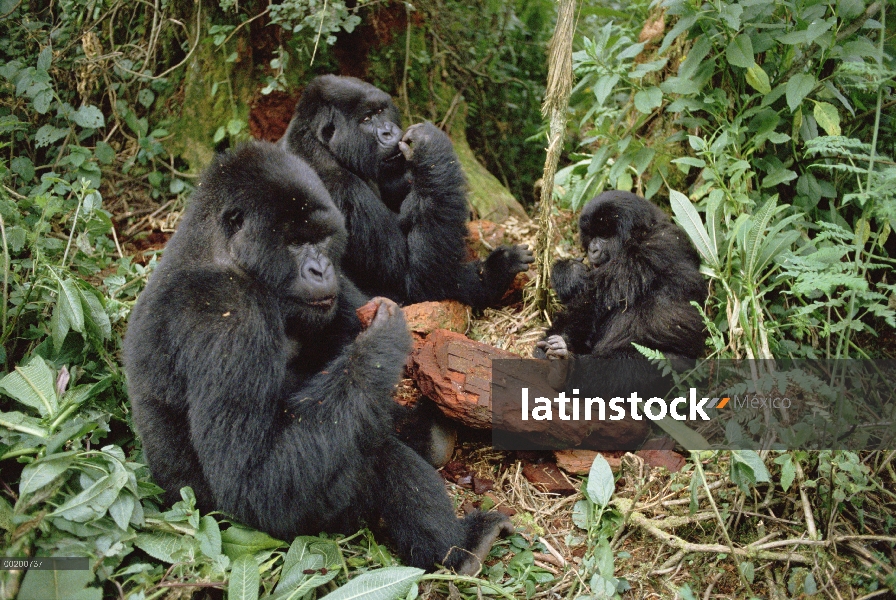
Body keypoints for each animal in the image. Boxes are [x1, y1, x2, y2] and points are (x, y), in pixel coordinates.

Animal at [123, 142, 512, 576]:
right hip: (239, 522)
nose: (320, 269)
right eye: (294, 242)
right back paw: (459, 550)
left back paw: (428, 437)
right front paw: (381, 342)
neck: (221, 251)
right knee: (372, 458)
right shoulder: (228, 314)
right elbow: (252, 481)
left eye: (323, 240)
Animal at [280, 74, 532, 310]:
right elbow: (417, 280)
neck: (321, 145)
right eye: (366, 119)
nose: (388, 132)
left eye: (381, 111)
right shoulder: (341, 191)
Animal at [540, 192, 708, 360]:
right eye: (592, 235)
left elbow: (593, 299)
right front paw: (569, 271)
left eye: (604, 235)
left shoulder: (647, 250)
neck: (643, 232)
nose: (592, 250)